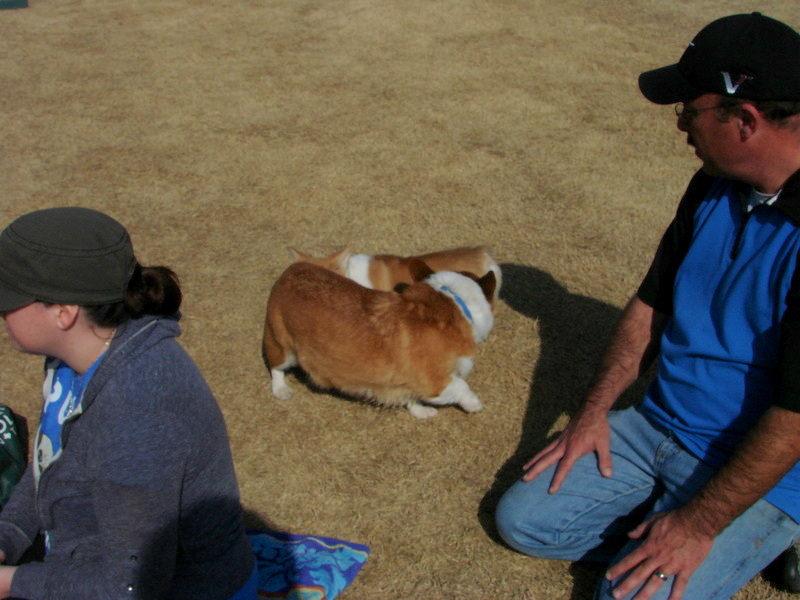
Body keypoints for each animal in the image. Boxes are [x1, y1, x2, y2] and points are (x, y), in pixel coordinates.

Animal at [262, 260, 494, 420]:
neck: (456, 302)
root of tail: (290, 270)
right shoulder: (434, 381)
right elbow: (462, 386)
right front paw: (475, 405)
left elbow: (409, 396)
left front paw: (421, 411)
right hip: (282, 345)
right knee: (275, 367)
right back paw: (281, 390)